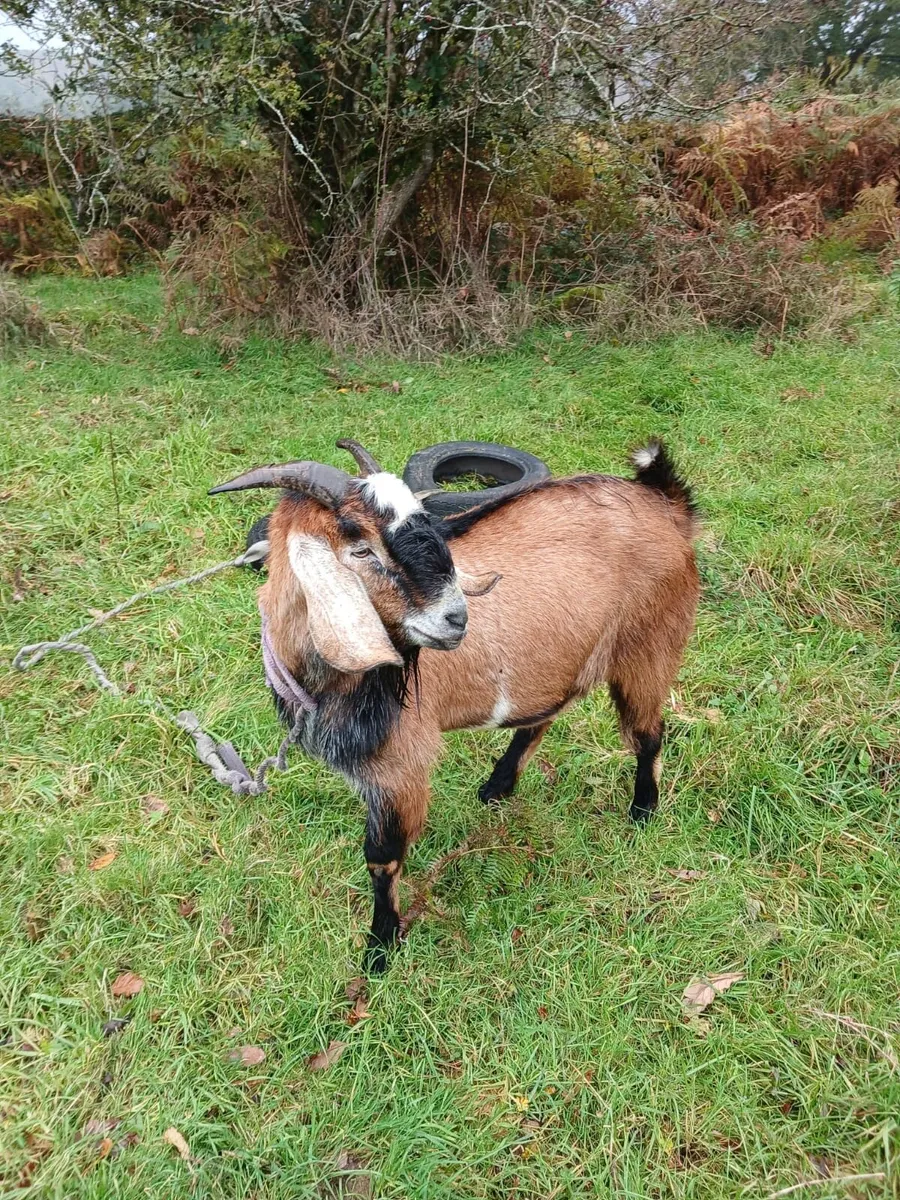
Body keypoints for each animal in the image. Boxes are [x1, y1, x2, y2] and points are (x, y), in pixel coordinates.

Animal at [210, 438, 699, 971]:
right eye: (360, 547)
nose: (457, 618)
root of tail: (663, 501)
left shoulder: (400, 762)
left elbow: (382, 856)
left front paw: (380, 948)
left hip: (649, 646)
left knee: (648, 733)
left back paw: (642, 811)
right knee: (545, 715)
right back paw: (498, 786)